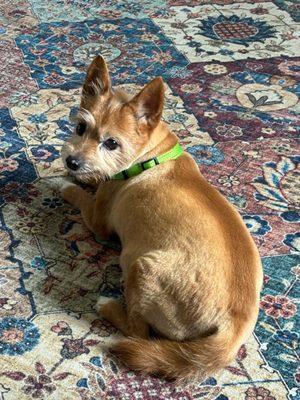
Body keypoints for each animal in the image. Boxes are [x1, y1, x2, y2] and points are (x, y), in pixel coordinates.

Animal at [60, 56, 262, 382]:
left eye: (111, 143)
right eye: (80, 127)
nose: (72, 161)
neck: (151, 155)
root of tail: (234, 327)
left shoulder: (98, 218)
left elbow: (82, 197)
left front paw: (67, 185)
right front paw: (80, 175)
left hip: (140, 268)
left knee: (138, 331)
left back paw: (107, 306)